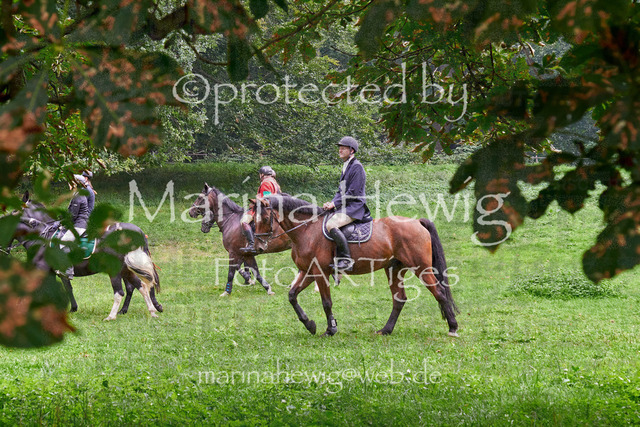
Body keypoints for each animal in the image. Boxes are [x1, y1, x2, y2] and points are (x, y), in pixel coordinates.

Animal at [11, 196, 163, 320]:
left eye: (14, 211)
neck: (44, 235)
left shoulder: (45, 270)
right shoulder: (53, 272)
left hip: (116, 270)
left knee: (124, 290)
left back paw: (115, 315)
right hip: (126, 269)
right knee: (141, 285)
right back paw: (149, 310)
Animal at [254, 194, 459, 337]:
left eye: (263, 219)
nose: (258, 247)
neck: (307, 230)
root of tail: (417, 221)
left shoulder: (320, 272)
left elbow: (326, 302)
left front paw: (330, 329)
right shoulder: (308, 271)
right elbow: (292, 295)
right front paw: (310, 324)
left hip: (420, 268)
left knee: (439, 292)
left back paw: (453, 328)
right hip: (394, 268)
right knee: (399, 299)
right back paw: (386, 330)